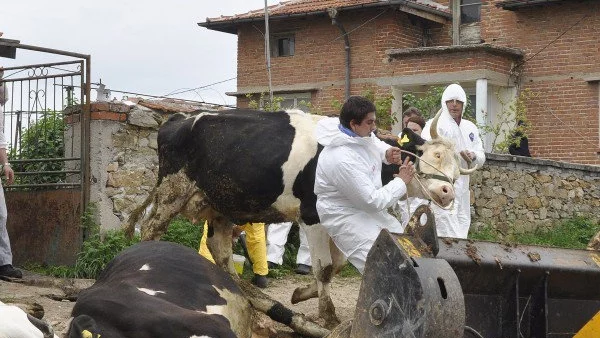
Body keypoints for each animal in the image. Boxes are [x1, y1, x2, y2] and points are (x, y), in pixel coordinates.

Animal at [123, 108, 474, 332]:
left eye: (457, 172)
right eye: (432, 156)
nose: (446, 192)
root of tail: (179, 119)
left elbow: (336, 264)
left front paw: (303, 294)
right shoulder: (313, 214)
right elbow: (324, 267)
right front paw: (328, 316)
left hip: (221, 205)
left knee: (220, 252)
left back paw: (244, 295)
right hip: (172, 192)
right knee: (151, 229)